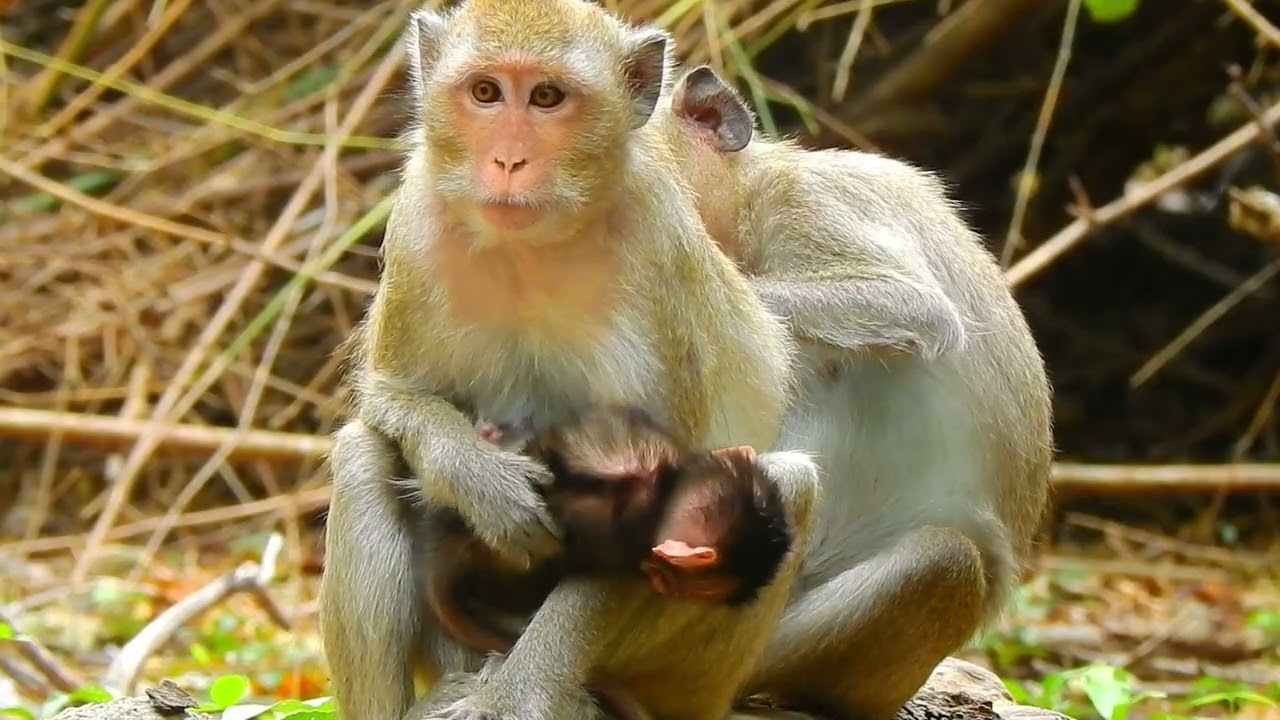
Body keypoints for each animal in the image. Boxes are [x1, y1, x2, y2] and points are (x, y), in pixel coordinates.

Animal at [316, 2, 820, 720]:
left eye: (547, 98)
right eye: (486, 92)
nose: (507, 159)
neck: (538, 244)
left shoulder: (657, 249)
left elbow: (665, 499)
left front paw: (518, 697)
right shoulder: (417, 219)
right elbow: (391, 393)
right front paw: (478, 476)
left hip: (687, 679)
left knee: (788, 483)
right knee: (366, 454)